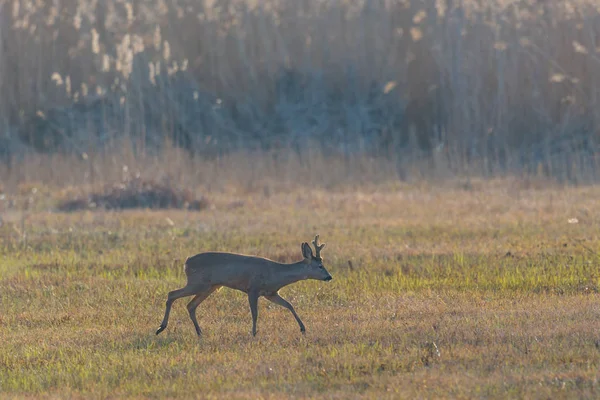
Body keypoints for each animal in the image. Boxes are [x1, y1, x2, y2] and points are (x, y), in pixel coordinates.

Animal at [155, 234, 332, 338]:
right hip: (197, 283)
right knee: (172, 294)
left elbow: (290, 305)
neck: (275, 274)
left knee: (190, 305)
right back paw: (161, 327)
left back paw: (199, 332)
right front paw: (253, 333)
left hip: (208, 287)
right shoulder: (252, 289)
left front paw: (303, 328)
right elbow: (255, 313)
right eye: (320, 266)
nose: (329, 277)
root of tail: (186, 262)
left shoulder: (271, 293)